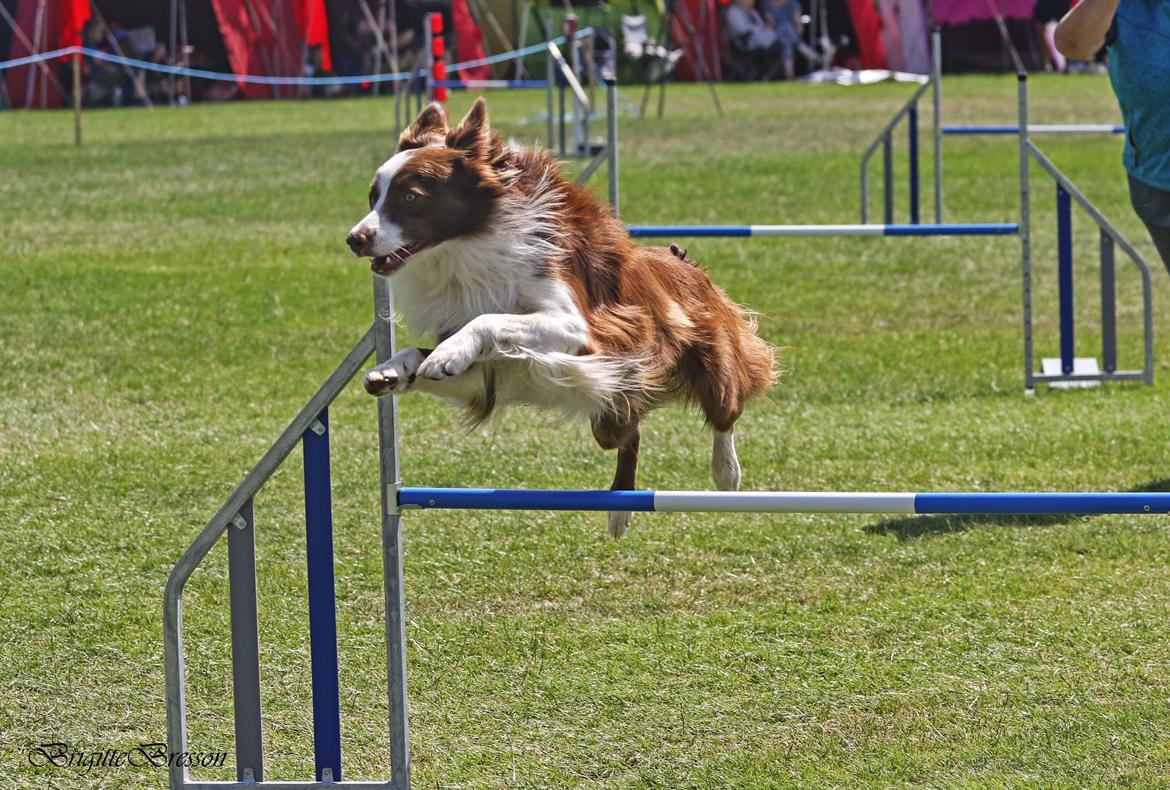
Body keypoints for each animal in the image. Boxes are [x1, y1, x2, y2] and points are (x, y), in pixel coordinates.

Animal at [343, 95, 776, 533]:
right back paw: (620, 509)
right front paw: (391, 371)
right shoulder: (491, 375)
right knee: (630, 433)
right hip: (615, 404)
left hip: (708, 361)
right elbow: (422, 352)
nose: (354, 239)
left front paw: (446, 354)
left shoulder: (577, 329)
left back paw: (726, 473)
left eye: (411, 197)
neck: (468, 251)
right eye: (373, 197)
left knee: (726, 413)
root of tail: (681, 260)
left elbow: (488, 320)